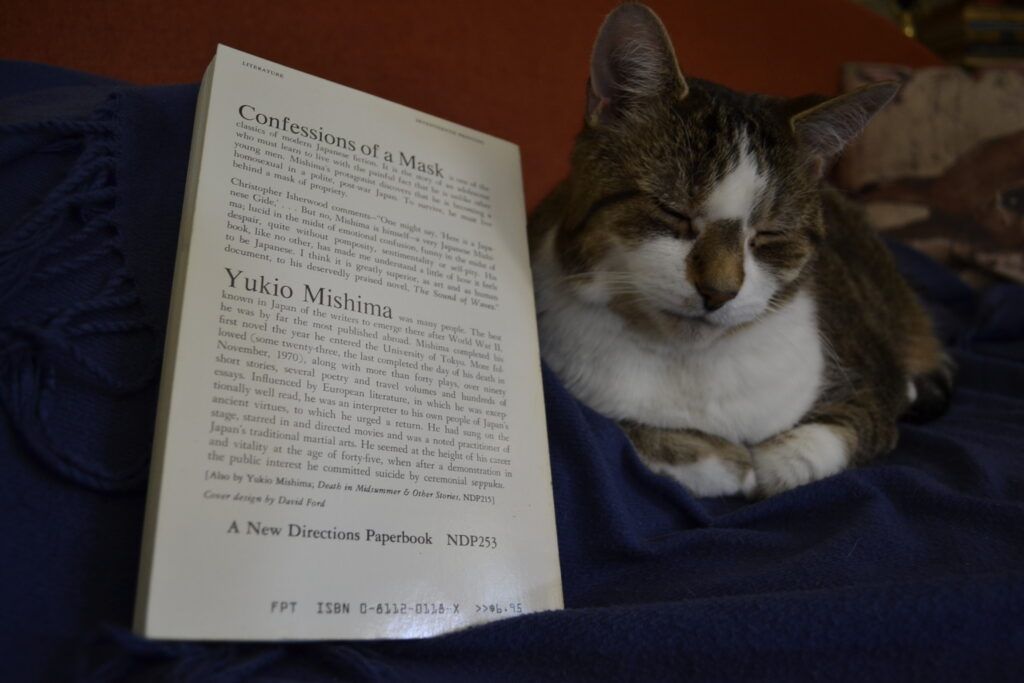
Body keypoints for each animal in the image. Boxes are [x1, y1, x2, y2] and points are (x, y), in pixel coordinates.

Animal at [532, 3, 954, 497]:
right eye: (673, 211)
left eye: (769, 235)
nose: (718, 292)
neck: (688, 366)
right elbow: (624, 432)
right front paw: (720, 458)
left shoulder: (871, 370)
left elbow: (840, 432)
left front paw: (767, 460)